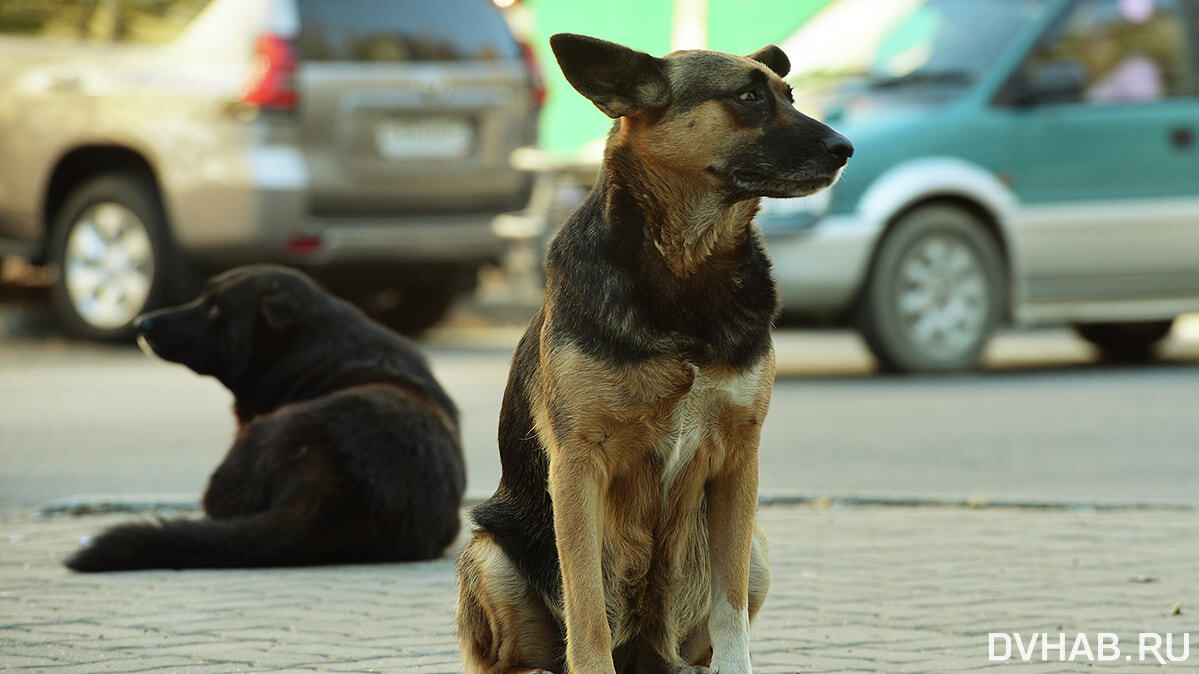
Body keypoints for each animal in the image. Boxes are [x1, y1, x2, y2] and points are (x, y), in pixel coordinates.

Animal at [453, 35, 848, 671]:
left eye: (790, 94)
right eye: (748, 97)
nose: (846, 149)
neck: (686, 266)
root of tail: (646, 650)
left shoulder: (740, 459)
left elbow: (729, 609)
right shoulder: (578, 465)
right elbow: (586, 609)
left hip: (758, 547)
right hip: (490, 555)